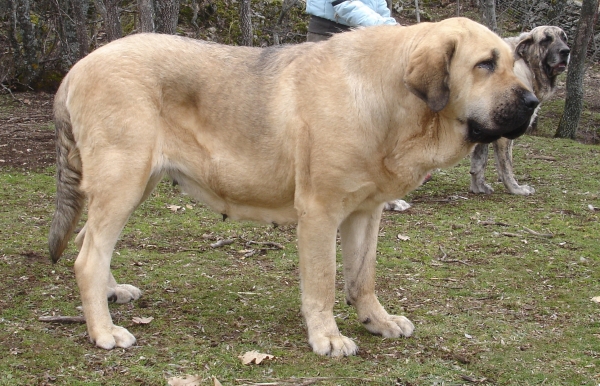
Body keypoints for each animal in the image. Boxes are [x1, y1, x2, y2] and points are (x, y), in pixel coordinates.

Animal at [49, 17, 540, 356]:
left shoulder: (365, 213)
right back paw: (103, 331)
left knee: (90, 241)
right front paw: (327, 337)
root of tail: (76, 68)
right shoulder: (321, 212)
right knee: (87, 257)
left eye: (512, 63)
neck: (391, 101)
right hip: (124, 179)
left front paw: (376, 321)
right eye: (484, 65)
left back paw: (112, 294)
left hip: (132, 184)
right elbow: (323, 282)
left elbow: (362, 277)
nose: (534, 102)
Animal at [472, 26, 568, 196]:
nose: (566, 51)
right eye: (546, 40)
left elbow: (480, 160)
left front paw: (479, 187)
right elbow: (506, 166)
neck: (527, 66)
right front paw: (516, 189)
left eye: (564, 38)